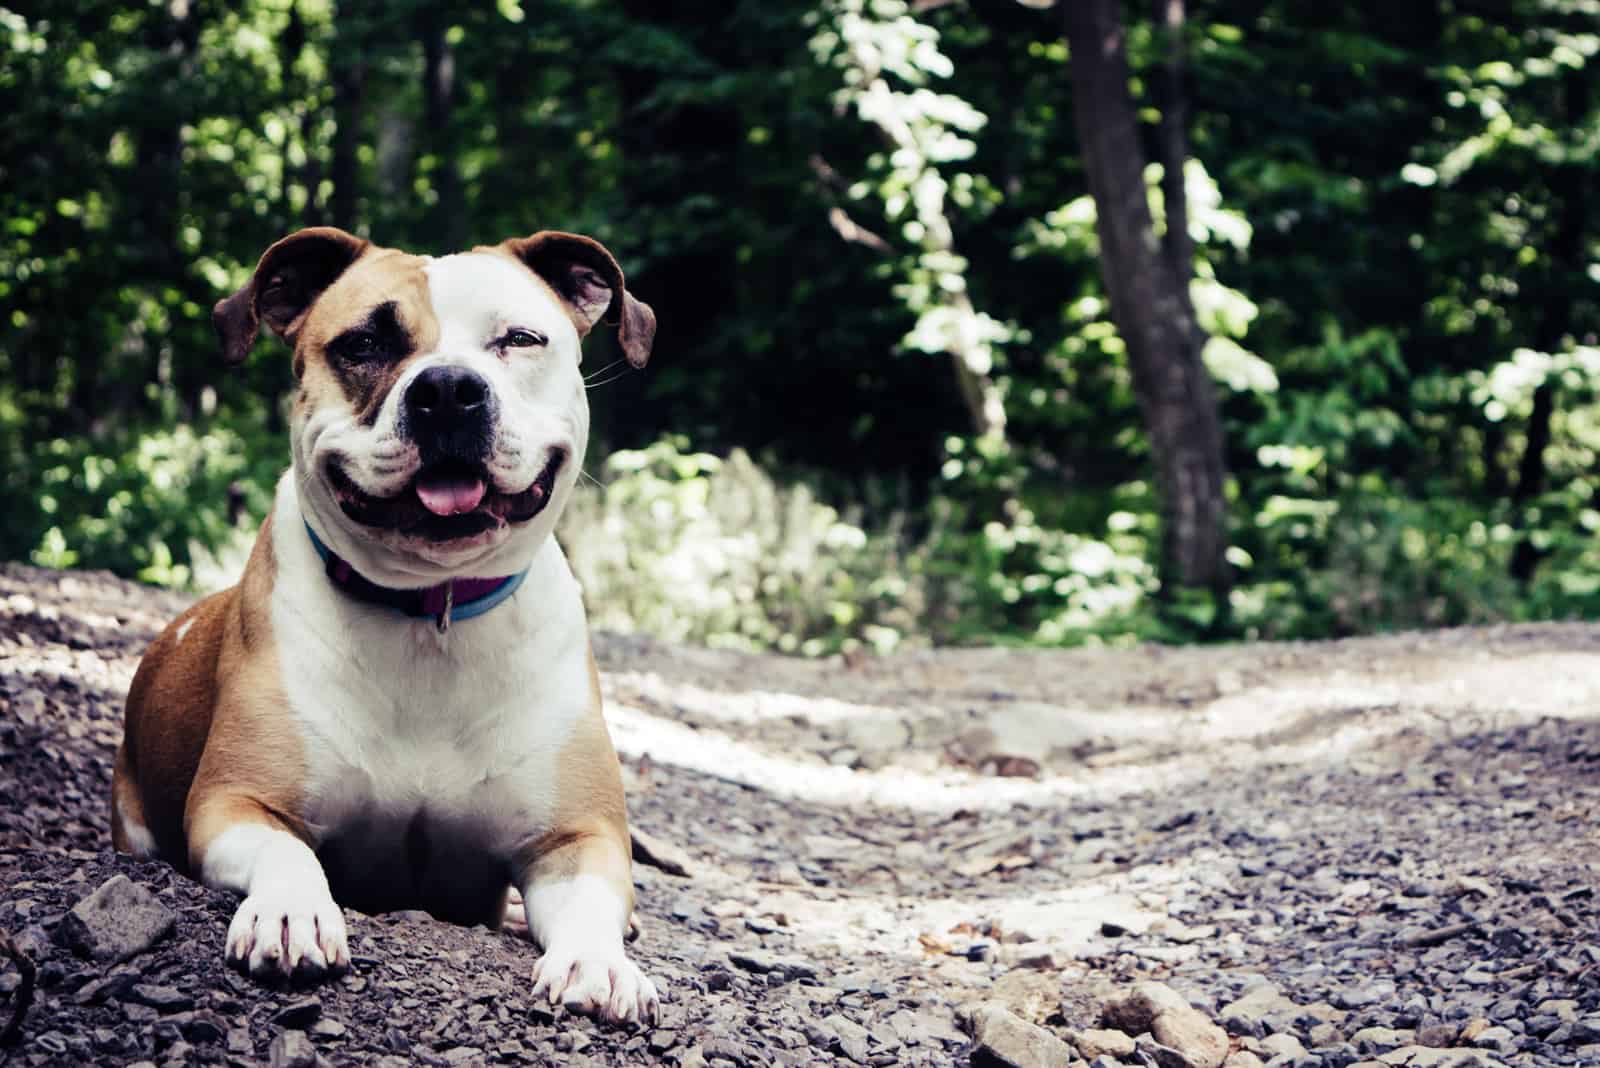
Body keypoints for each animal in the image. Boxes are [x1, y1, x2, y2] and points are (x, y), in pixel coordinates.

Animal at [108, 227, 656, 1023]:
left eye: (520, 339)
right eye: (363, 343)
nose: (448, 389)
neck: (432, 607)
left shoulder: (577, 836)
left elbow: (588, 900)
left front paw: (597, 961)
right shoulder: (235, 804)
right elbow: (289, 853)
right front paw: (292, 911)